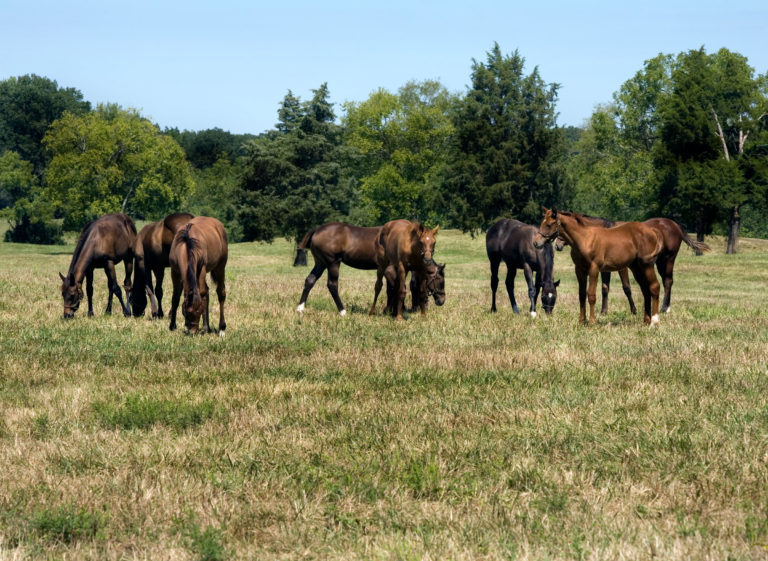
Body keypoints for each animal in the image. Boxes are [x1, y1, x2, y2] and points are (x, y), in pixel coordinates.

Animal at [534, 208, 663, 326]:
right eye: (542, 223)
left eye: (549, 225)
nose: (536, 243)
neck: (585, 239)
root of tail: (652, 231)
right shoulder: (579, 270)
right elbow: (581, 295)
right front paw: (581, 321)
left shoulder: (594, 269)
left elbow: (591, 295)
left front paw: (592, 322)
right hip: (636, 268)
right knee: (645, 290)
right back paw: (646, 320)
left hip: (647, 265)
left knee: (655, 287)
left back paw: (654, 321)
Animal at [555, 215, 710, 314]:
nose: (557, 245)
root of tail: (675, 225)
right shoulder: (604, 269)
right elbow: (605, 288)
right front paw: (604, 311)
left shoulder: (622, 268)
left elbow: (626, 288)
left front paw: (633, 310)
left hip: (667, 260)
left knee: (668, 281)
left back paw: (664, 308)